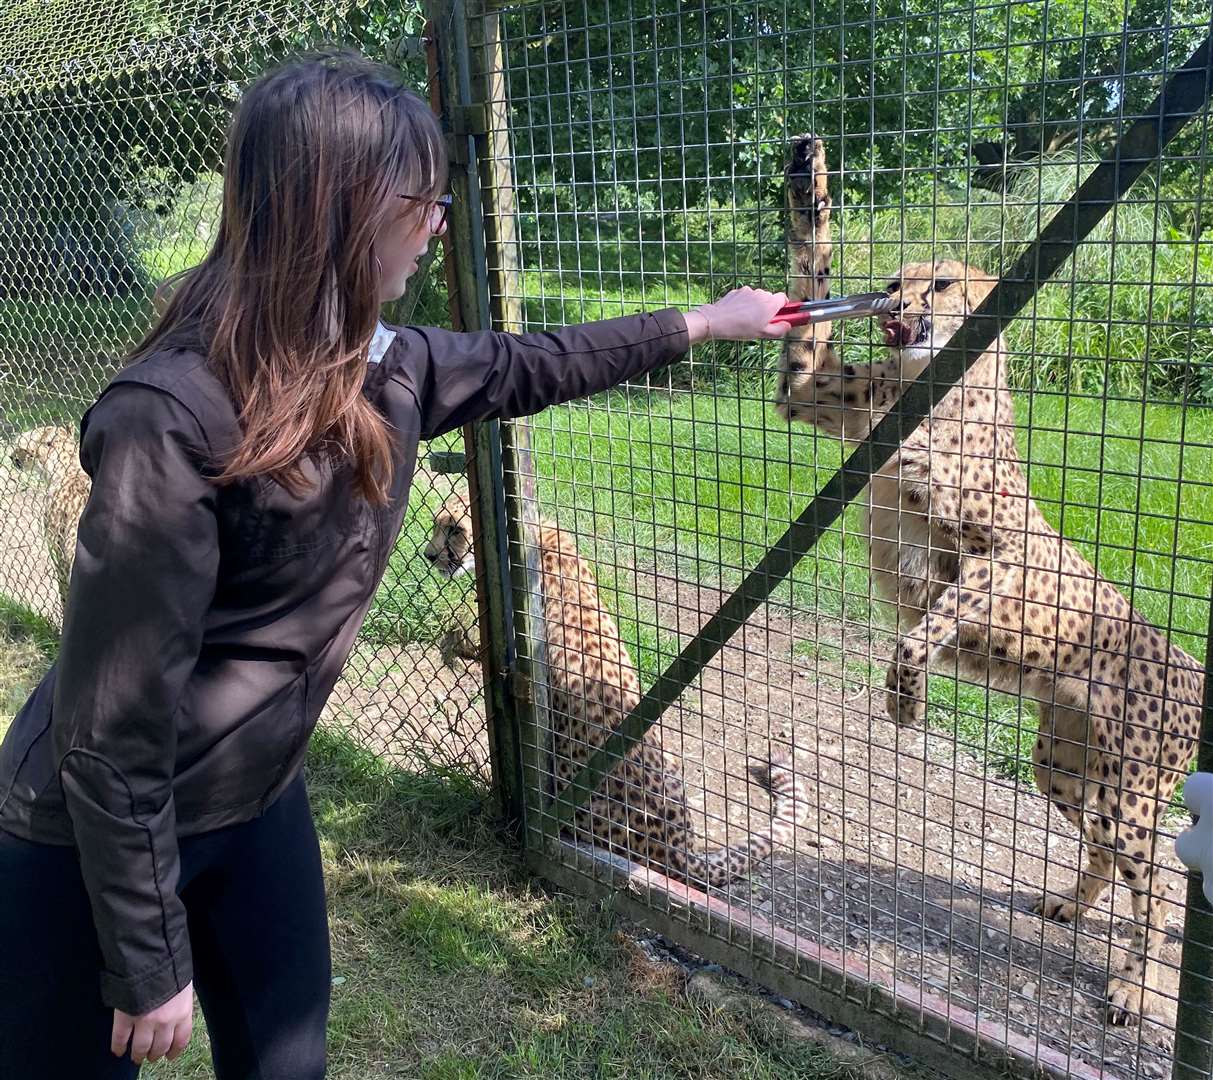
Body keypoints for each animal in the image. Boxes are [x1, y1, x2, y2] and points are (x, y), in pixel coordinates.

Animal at [776, 130, 1203, 1024]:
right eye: (893, 280)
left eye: (940, 283)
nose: (898, 307)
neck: (927, 391)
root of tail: (1189, 663)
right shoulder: (808, 396)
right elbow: (809, 282)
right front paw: (807, 181)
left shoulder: (996, 557)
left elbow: (925, 627)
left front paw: (905, 699)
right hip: (1065, 766)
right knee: (1106, 854)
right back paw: (1070, 903)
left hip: (1131, 792)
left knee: (1160, 891)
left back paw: (1135, 986)